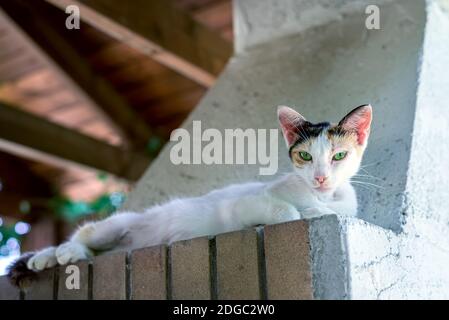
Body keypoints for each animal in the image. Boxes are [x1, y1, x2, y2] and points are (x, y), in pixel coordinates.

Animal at [7, 103, 372, 284]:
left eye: (339, 156)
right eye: (306, 156)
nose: (321, 178)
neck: (321, 196)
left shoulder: (346, 207)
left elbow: (330, 211)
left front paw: (317, 210)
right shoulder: (243, 203)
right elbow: (287, 210)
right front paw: (303, 211)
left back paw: (48, 258)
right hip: (115, 225)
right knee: (83, 235)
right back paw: (56, 254)